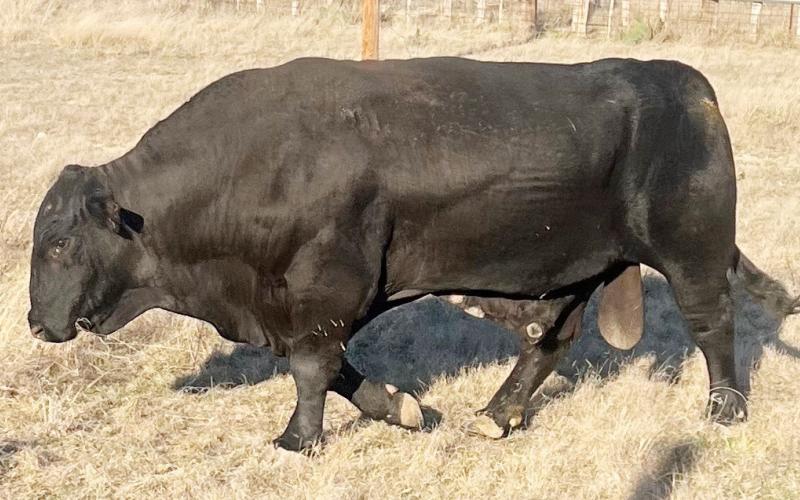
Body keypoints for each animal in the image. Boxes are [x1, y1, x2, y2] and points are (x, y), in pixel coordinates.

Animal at [28, 57, 799, 452]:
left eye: (61, 242)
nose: (37, 323)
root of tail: (685, 82)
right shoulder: (302, 304)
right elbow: (333, 367)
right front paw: (399, 407)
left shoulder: (331, 284)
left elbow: (313, 365)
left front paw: (297, 439)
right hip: (579, 265)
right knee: (551, 337)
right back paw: (497, 412)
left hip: (691, 248)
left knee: (711, 322)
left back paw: (725, 409)